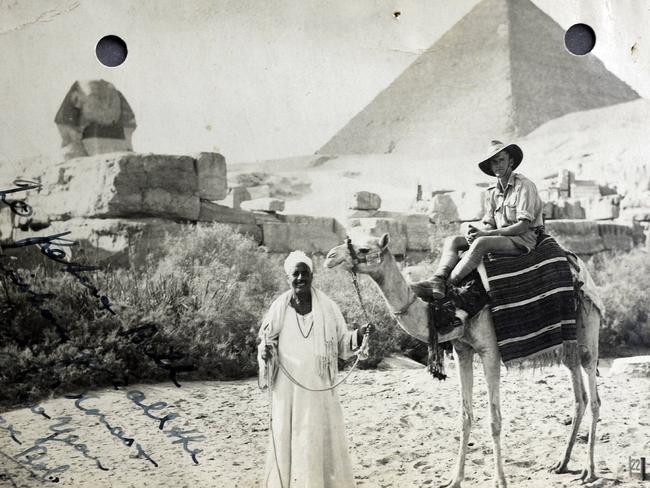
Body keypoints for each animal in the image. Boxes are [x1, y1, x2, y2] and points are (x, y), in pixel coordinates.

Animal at [322, 233, 600, 488]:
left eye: (364, 248)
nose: (330, 256)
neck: (453, 307)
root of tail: (579, 266)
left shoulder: (490, 351)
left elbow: (494, 419)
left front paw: (500, 480)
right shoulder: (462, 350)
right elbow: (465, 416)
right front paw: (455, 479)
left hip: (588, 325)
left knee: (593, 391)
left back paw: (590, 471)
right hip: (567, 341)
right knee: (580, 397)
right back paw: (562, 464)